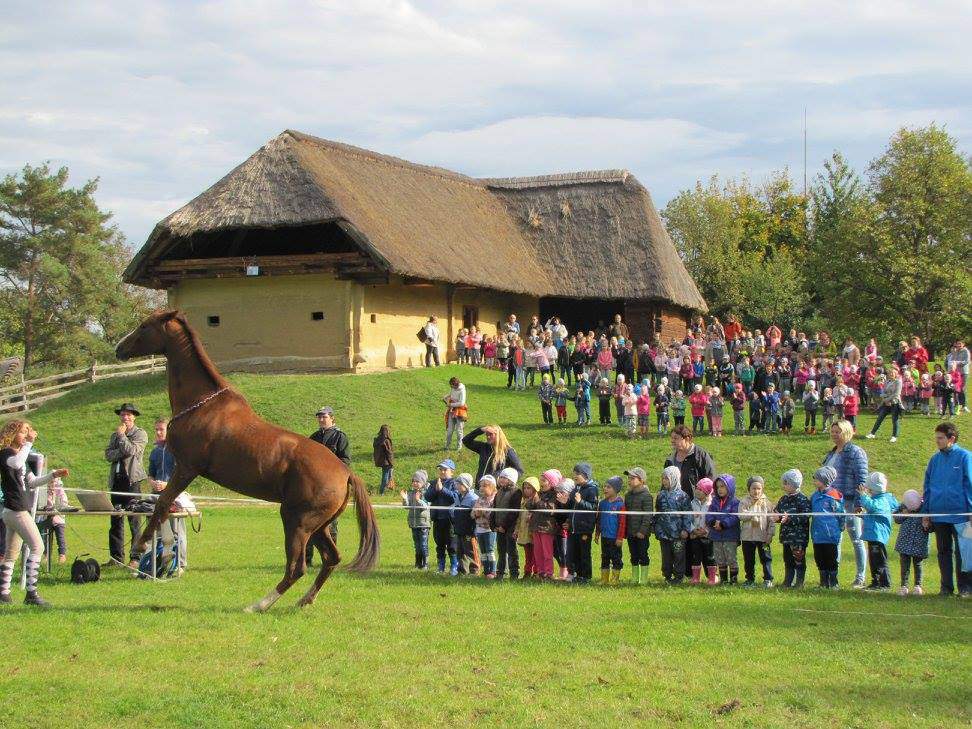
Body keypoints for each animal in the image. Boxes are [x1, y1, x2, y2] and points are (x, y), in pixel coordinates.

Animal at [117, 310, 380, 612]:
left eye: (144, 326)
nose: (119, 348)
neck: (202, 404)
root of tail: (346, 473)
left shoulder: (186, 468)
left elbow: (162, 503)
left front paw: (140, 547)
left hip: (296, 521)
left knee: (297, 567)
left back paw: (258, 605)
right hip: (318, 526)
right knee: (331, 559)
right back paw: (304, 600)